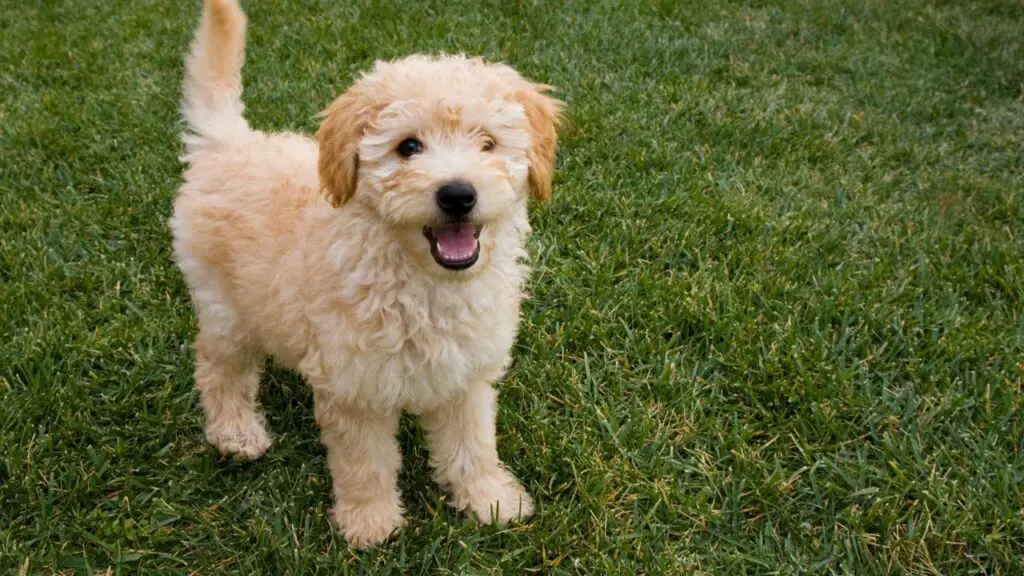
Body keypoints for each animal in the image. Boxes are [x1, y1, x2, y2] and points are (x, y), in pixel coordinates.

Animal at [171, 0, 565, 545]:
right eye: (408, 147)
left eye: (488, 143)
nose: (458, 194)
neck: (421, 282)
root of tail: (227, 143)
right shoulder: (354, 389)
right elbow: (365, 463)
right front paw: (370, 521)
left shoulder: (465, 375)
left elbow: (473, 445)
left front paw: (490, 500)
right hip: (224, 306)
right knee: (216, 366)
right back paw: (236, 432)